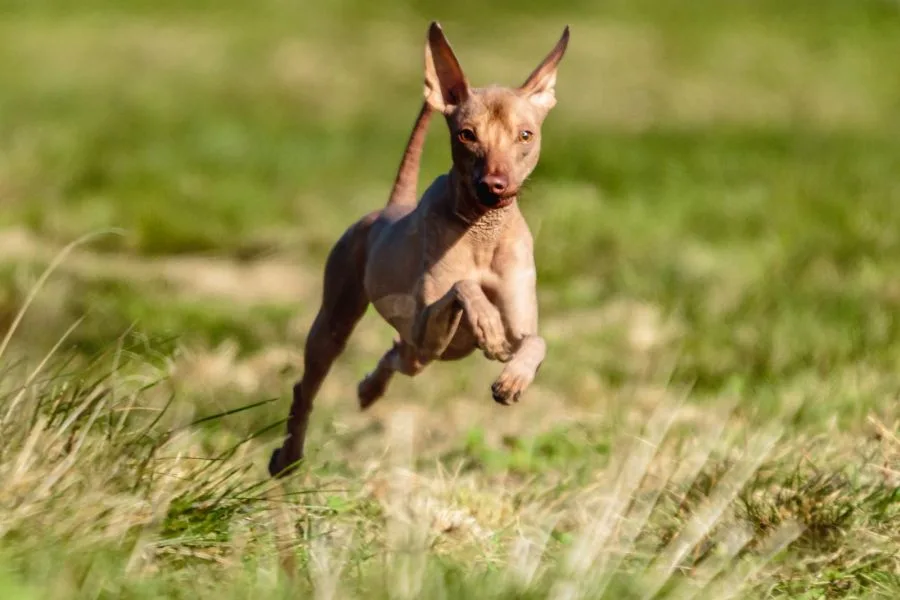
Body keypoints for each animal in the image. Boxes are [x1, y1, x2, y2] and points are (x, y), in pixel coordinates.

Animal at [270, 19, 572, 478]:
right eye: (467, 135)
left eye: (526, 135)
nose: (496, 186)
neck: (482, 231)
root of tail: (391, 208)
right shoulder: (426, 324)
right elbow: (464, 288)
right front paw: (486, 324)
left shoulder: (517, 323)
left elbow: (536, 341)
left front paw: (513, 378)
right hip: (337, 324)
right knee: (306, 386)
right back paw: (287, 457)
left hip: (417, 355)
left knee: (396, 355)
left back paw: (369, 389)